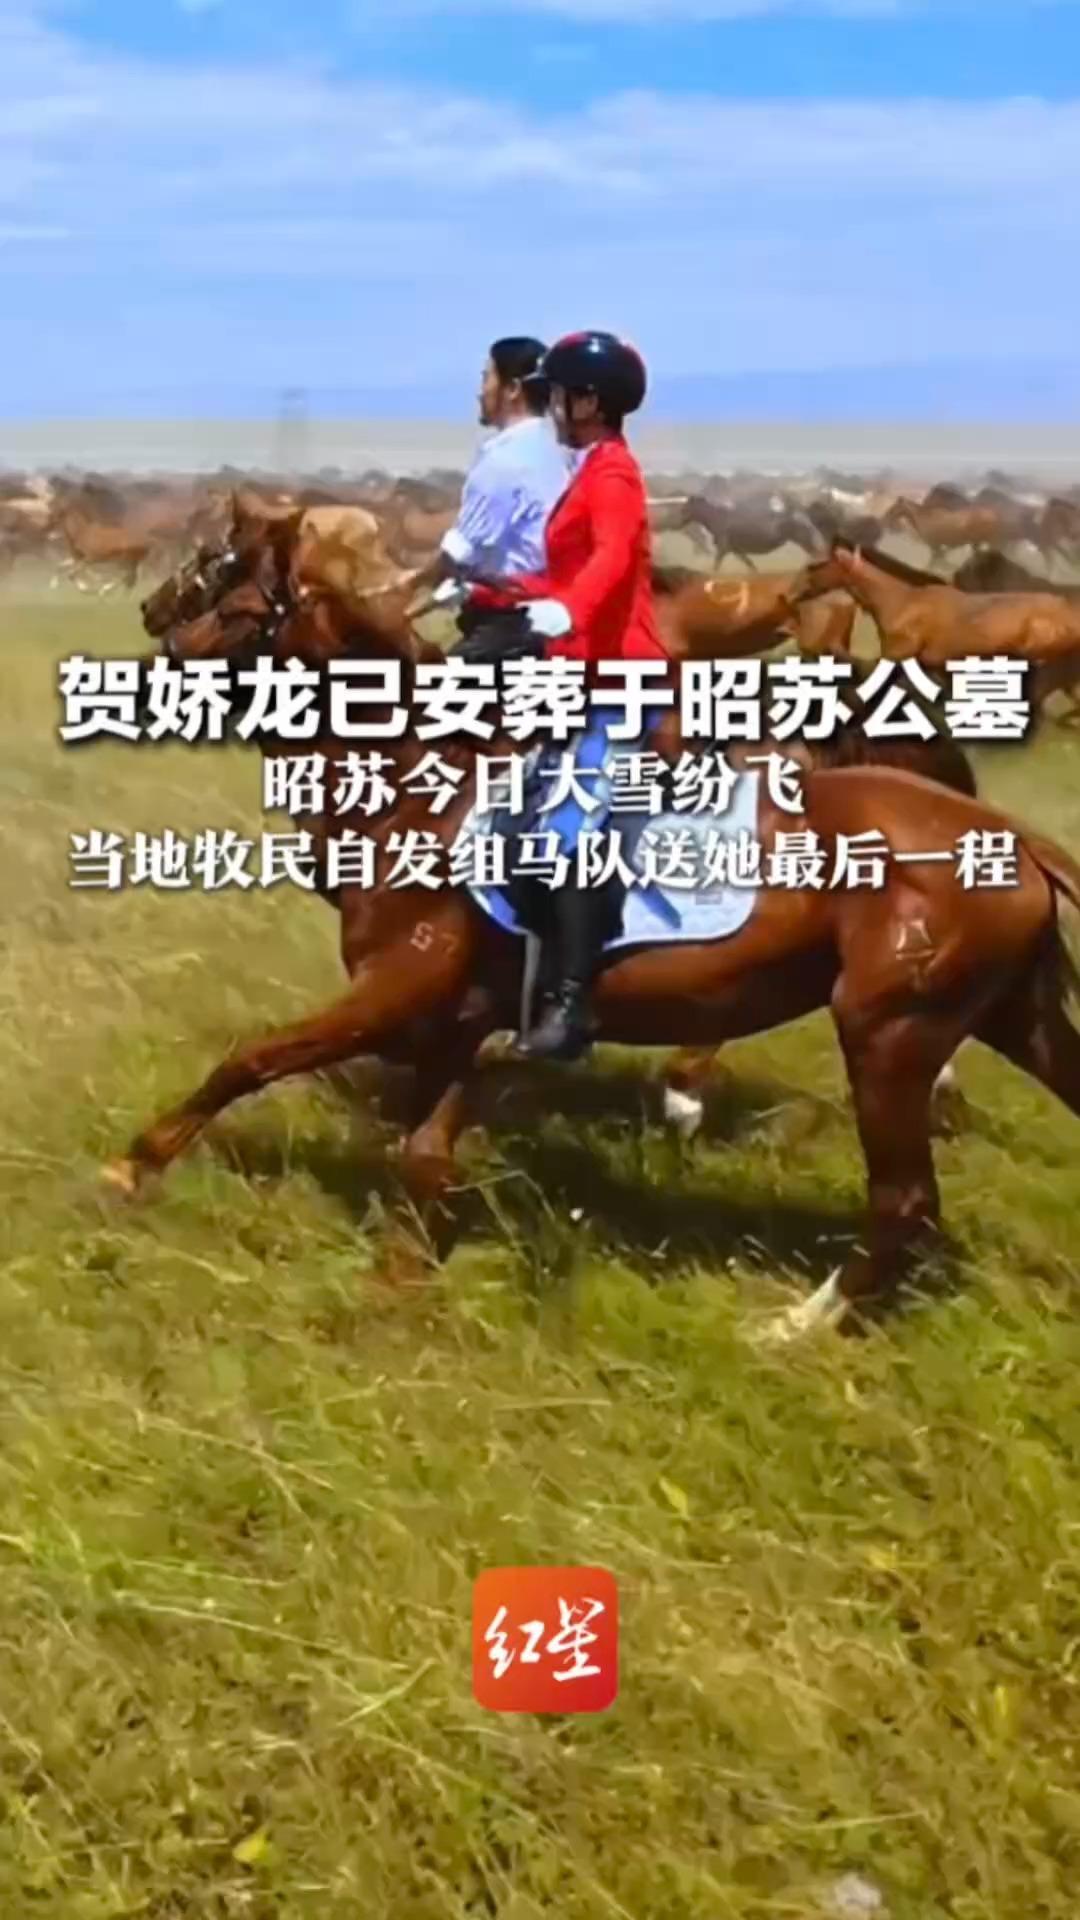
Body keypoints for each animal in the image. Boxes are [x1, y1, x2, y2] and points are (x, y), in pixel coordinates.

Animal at [116, 497, 1080, 1343]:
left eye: (222, 576)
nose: (152, 621)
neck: (426, 784)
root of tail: (1013, 839)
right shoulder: (461, 1018)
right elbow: (423, 1153)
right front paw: (400, 1279)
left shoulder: (400, 989)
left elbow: (253, 1058)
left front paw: (136, 1162)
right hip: (1009, 1017)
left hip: (888, 1033)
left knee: (903, 1201)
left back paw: (794, 1324)